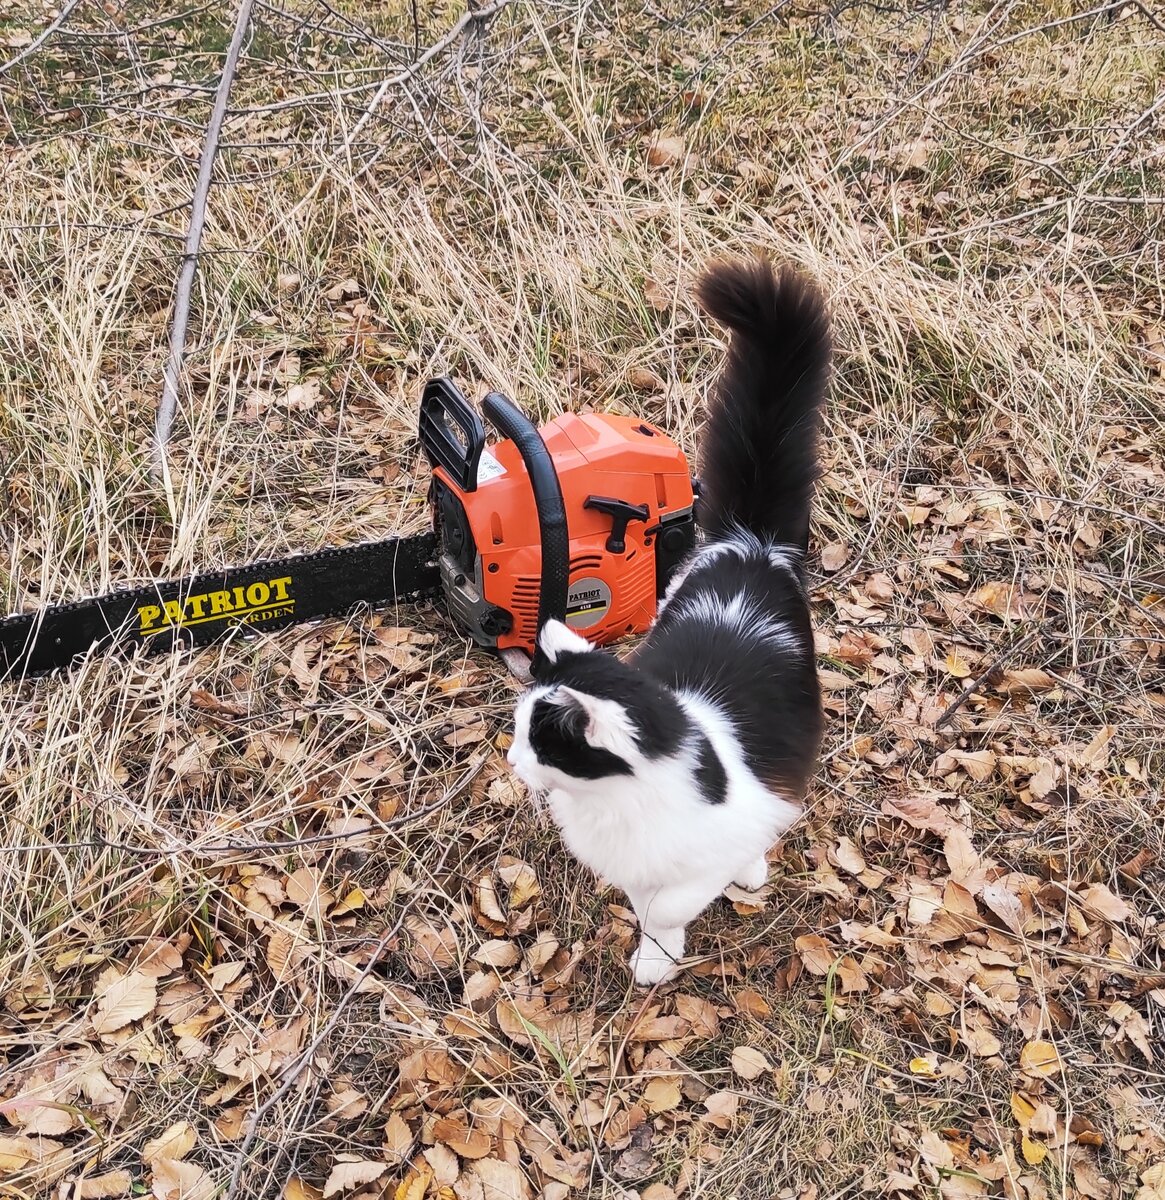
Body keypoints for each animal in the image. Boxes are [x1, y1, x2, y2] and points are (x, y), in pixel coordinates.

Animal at [508, 255, 830, 984]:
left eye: (540, 743)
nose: (511, 761)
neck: (612, 806)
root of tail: (750, 545)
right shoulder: (631, 862)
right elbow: (645, 900)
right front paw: (657, 954)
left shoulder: (729, 820)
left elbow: (675, 898)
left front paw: (664, 946)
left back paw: (753, 866)